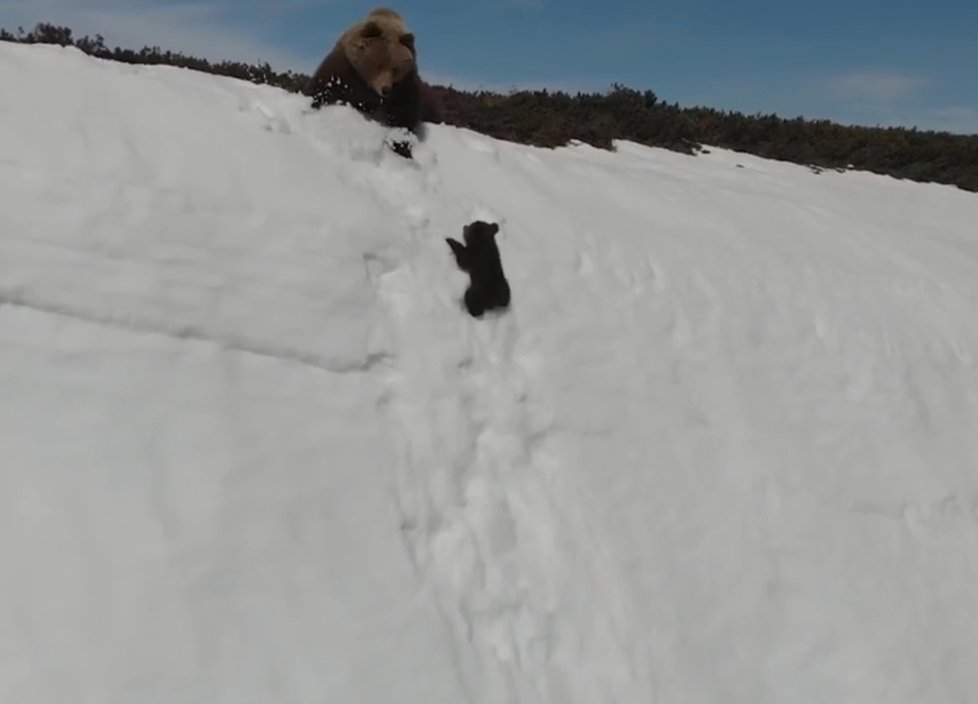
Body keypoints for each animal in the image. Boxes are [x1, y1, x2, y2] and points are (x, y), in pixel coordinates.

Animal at [302, 8, 442, 157]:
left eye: (395, 68)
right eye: (379, 64)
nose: (385, 89)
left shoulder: (404, 85)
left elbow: (404, 116)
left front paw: (401, 146)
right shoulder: (344, 69)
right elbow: (322, 87)